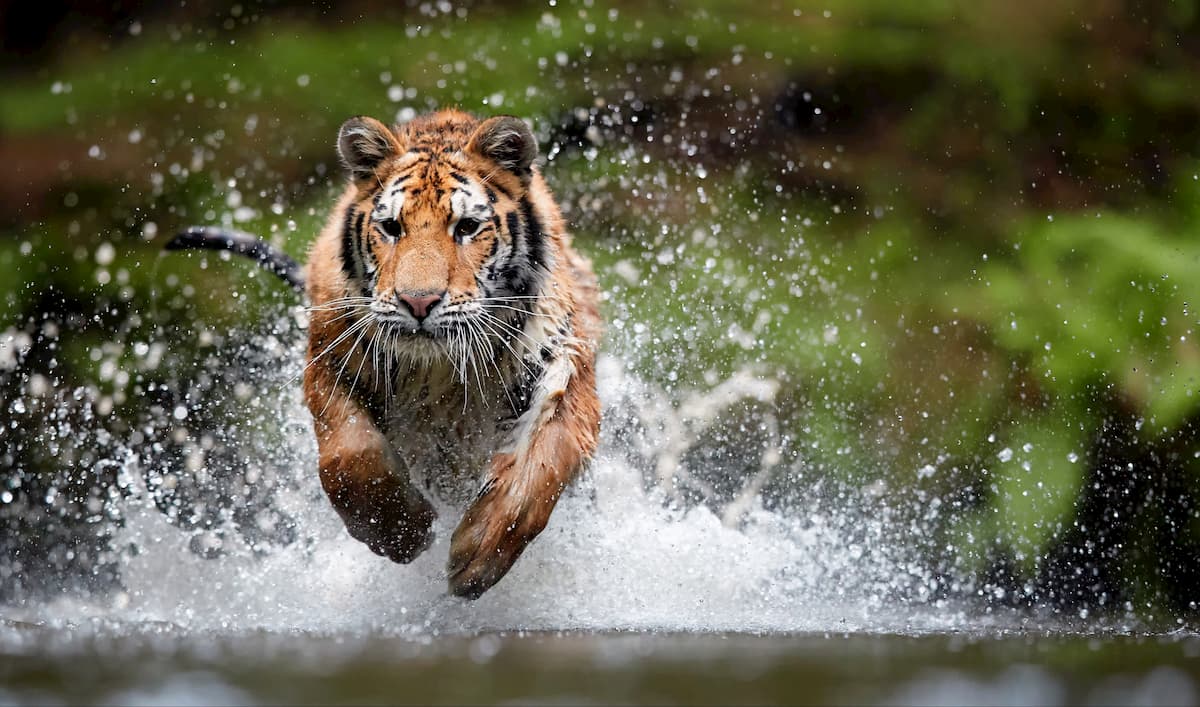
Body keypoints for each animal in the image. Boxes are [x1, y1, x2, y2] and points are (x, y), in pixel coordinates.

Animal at [169, 110, 600, 595]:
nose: (418, 302)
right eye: (392, 227)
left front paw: (476, 558)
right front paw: (402, 534)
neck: (438, 372)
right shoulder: (329, 361)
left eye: (467, 228)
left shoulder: (564, 365)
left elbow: (541, 466)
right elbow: (349, 457)